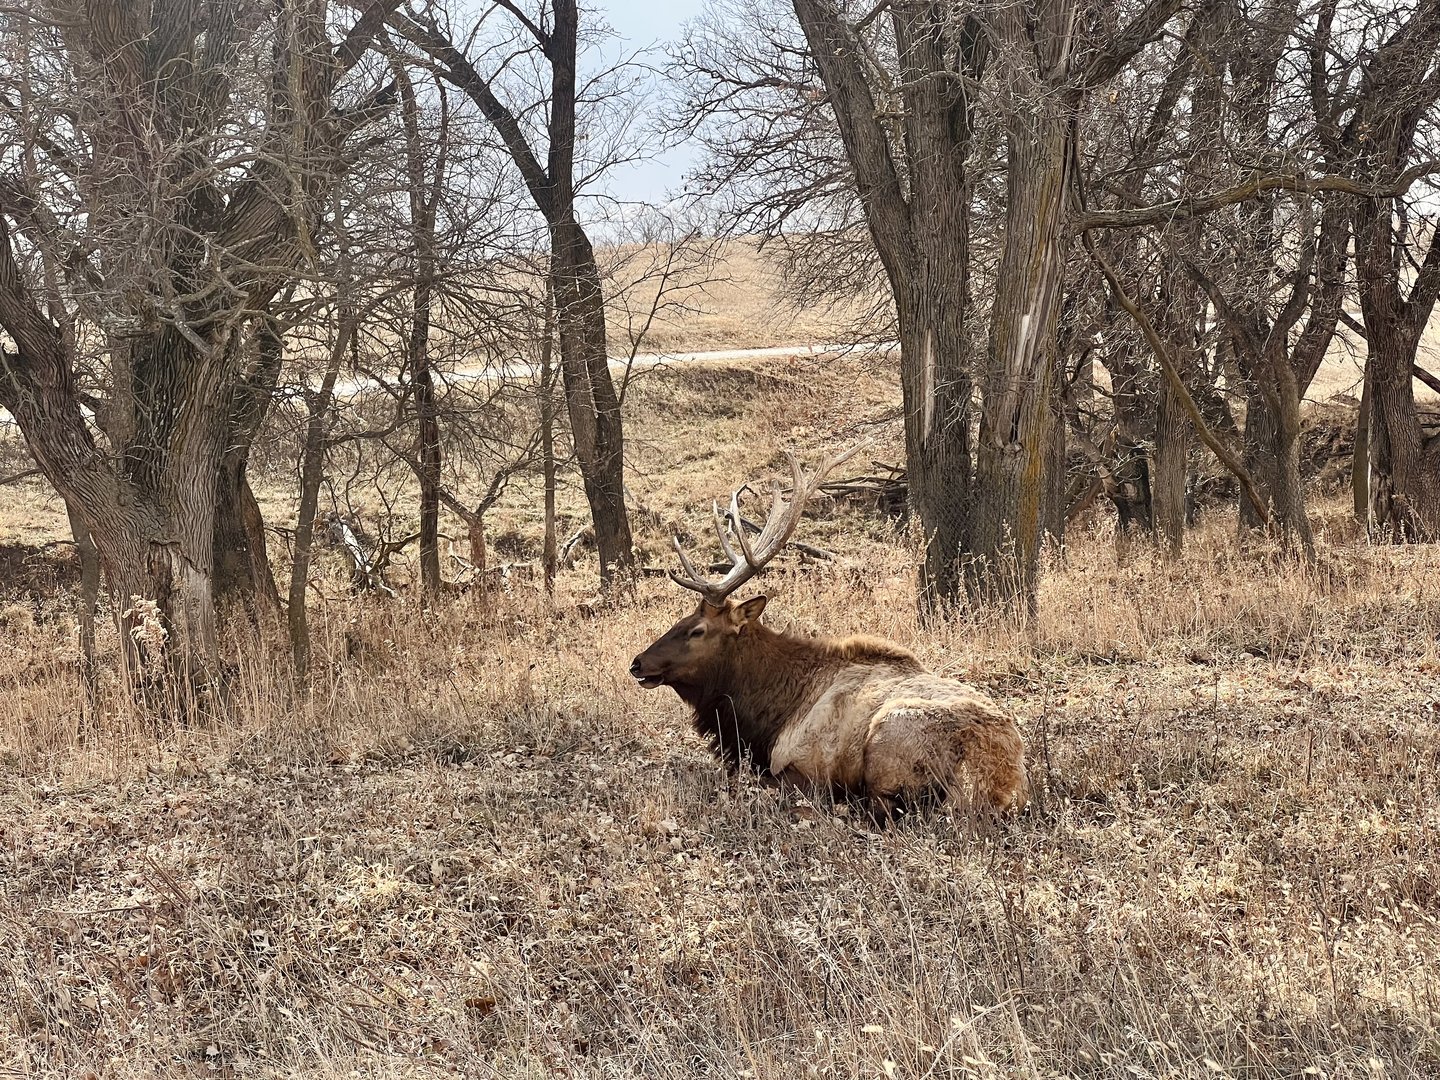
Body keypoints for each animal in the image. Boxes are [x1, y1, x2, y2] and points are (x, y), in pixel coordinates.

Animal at [629, 451, 1030, 818]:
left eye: (697, 630)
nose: (637, 663)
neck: (762, 719)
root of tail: (1001, 781)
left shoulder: (804, 765)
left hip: (891, 740)